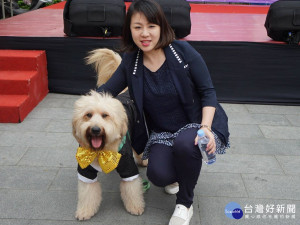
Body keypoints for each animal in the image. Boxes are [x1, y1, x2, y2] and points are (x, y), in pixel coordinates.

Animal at [71, 48, 144, 220]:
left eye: (105, 115)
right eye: (88, 115)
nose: (95, 129)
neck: (101, 152)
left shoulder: (128, 166)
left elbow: (132, 189)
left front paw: (135, 207)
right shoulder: (85, 170)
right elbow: (87, 193)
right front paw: (85, 211)